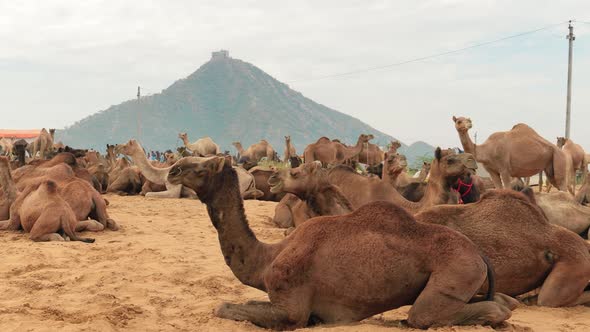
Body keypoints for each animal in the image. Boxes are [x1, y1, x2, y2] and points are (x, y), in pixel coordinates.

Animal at [166, 157, 512, 330]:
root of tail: (479, 254)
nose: (172, 170)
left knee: (427, 316)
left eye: (201, 166)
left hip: (456, 270)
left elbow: (223, 307)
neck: (267, 257)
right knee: (502, 301)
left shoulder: (291, 307)